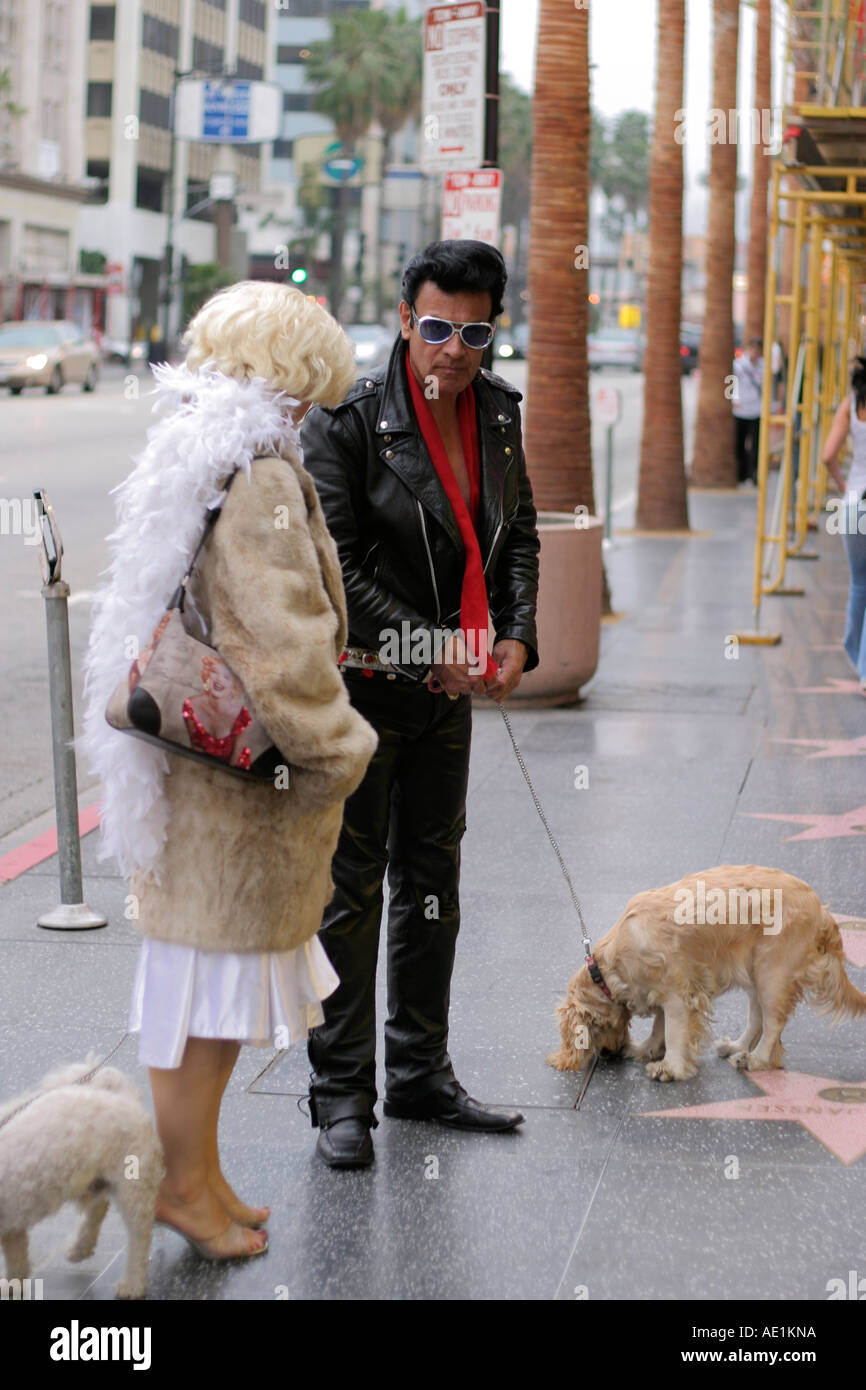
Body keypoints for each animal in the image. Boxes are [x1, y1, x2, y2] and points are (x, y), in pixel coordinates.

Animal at [0, 1061, 162, 1301]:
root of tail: (123, 1095)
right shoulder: (11, 1222)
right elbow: (16, 1257)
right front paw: (13, 1283)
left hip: (132, 1184)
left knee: (138, 1235)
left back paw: (132, 1283)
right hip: (88, 1178)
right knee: (98, 1207)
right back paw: (80, 1248)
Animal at [547, 861, 866, 1078]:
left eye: (592, 1030)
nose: (607, 1054)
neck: (608, 969)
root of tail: (821, 910)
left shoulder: (678, 995)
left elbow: (674, 1031)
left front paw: (671, 1067)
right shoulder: (664, 991)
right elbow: (659, 1026)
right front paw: (646, 1048)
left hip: (772, 974)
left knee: (773, 1025)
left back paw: (756, 1059)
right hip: (754, 974)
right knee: (757, 1019)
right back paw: (736, 1047)